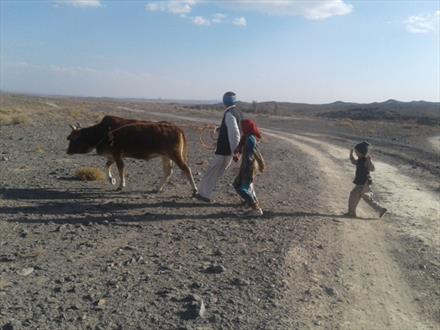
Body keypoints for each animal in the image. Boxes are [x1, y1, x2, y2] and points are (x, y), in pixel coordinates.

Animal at [67, 115, 198, 195]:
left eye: (72, 138)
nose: (67, 151)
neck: (103, 132)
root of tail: (177, 128)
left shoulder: (117, 154)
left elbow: (120, 169)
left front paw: (121, 185)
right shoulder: (113, 155)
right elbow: (107, 165)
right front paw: (111, 180)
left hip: (175, 154)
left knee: (186, 169)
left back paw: (195, 189)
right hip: (166, 156)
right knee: (168, 171)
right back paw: (158, 188)